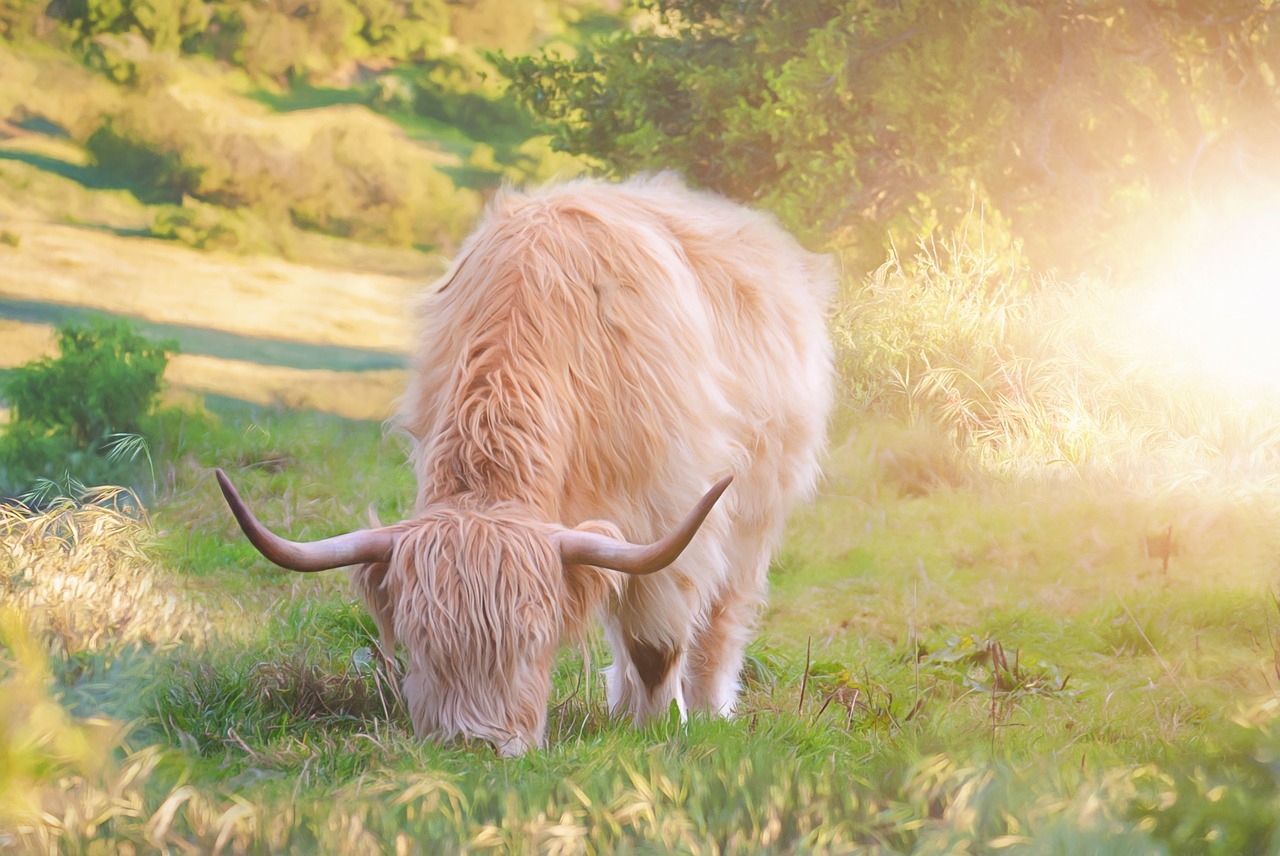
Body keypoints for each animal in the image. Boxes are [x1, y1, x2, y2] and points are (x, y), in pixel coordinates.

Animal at [217, 175, 839, 752]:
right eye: (417, 641)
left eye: (535, 639)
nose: (475, 743)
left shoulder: (672, 506)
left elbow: (656, 642)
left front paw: (662, 729)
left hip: (757, 508)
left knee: (723, 612)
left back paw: (708, 707)